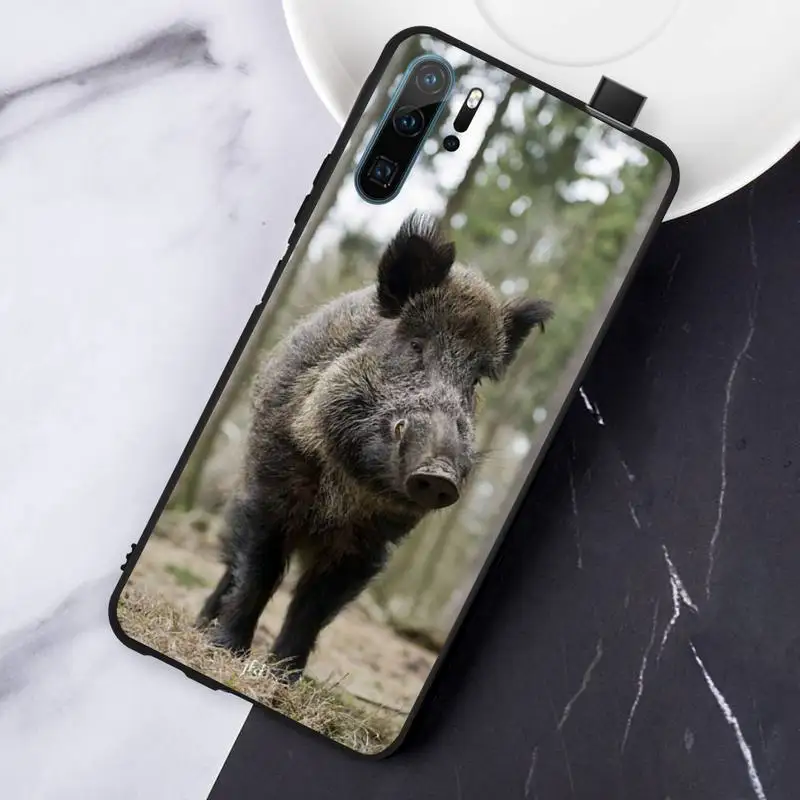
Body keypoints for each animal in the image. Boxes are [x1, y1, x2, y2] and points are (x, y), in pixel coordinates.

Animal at [195, 211, 552, 680]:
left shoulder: (371, 544)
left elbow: (313, 607)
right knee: (231, 563)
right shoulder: (271, 490)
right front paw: (228, 651)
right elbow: (259, 572)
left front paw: (286, 678)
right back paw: (201, 627)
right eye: (416, 345)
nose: (439, 473)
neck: (343, 493)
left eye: (475, 381)